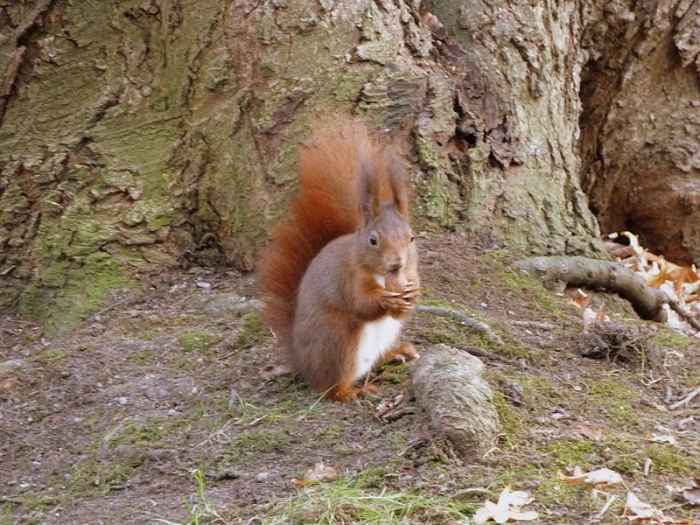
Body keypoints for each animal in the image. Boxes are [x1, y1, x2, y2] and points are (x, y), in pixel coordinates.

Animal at [258, 119, 420, 402]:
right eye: (373, 240)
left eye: (411, 237)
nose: (396, 263)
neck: (383, 276)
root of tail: (304, 363)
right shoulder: (349, 277)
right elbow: (361, 304)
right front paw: (385, 300)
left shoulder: (412, 271)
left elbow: (410, 301)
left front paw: (413, 293)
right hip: (338, 342)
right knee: (330, 388)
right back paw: (354, 391)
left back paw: (397, 352)